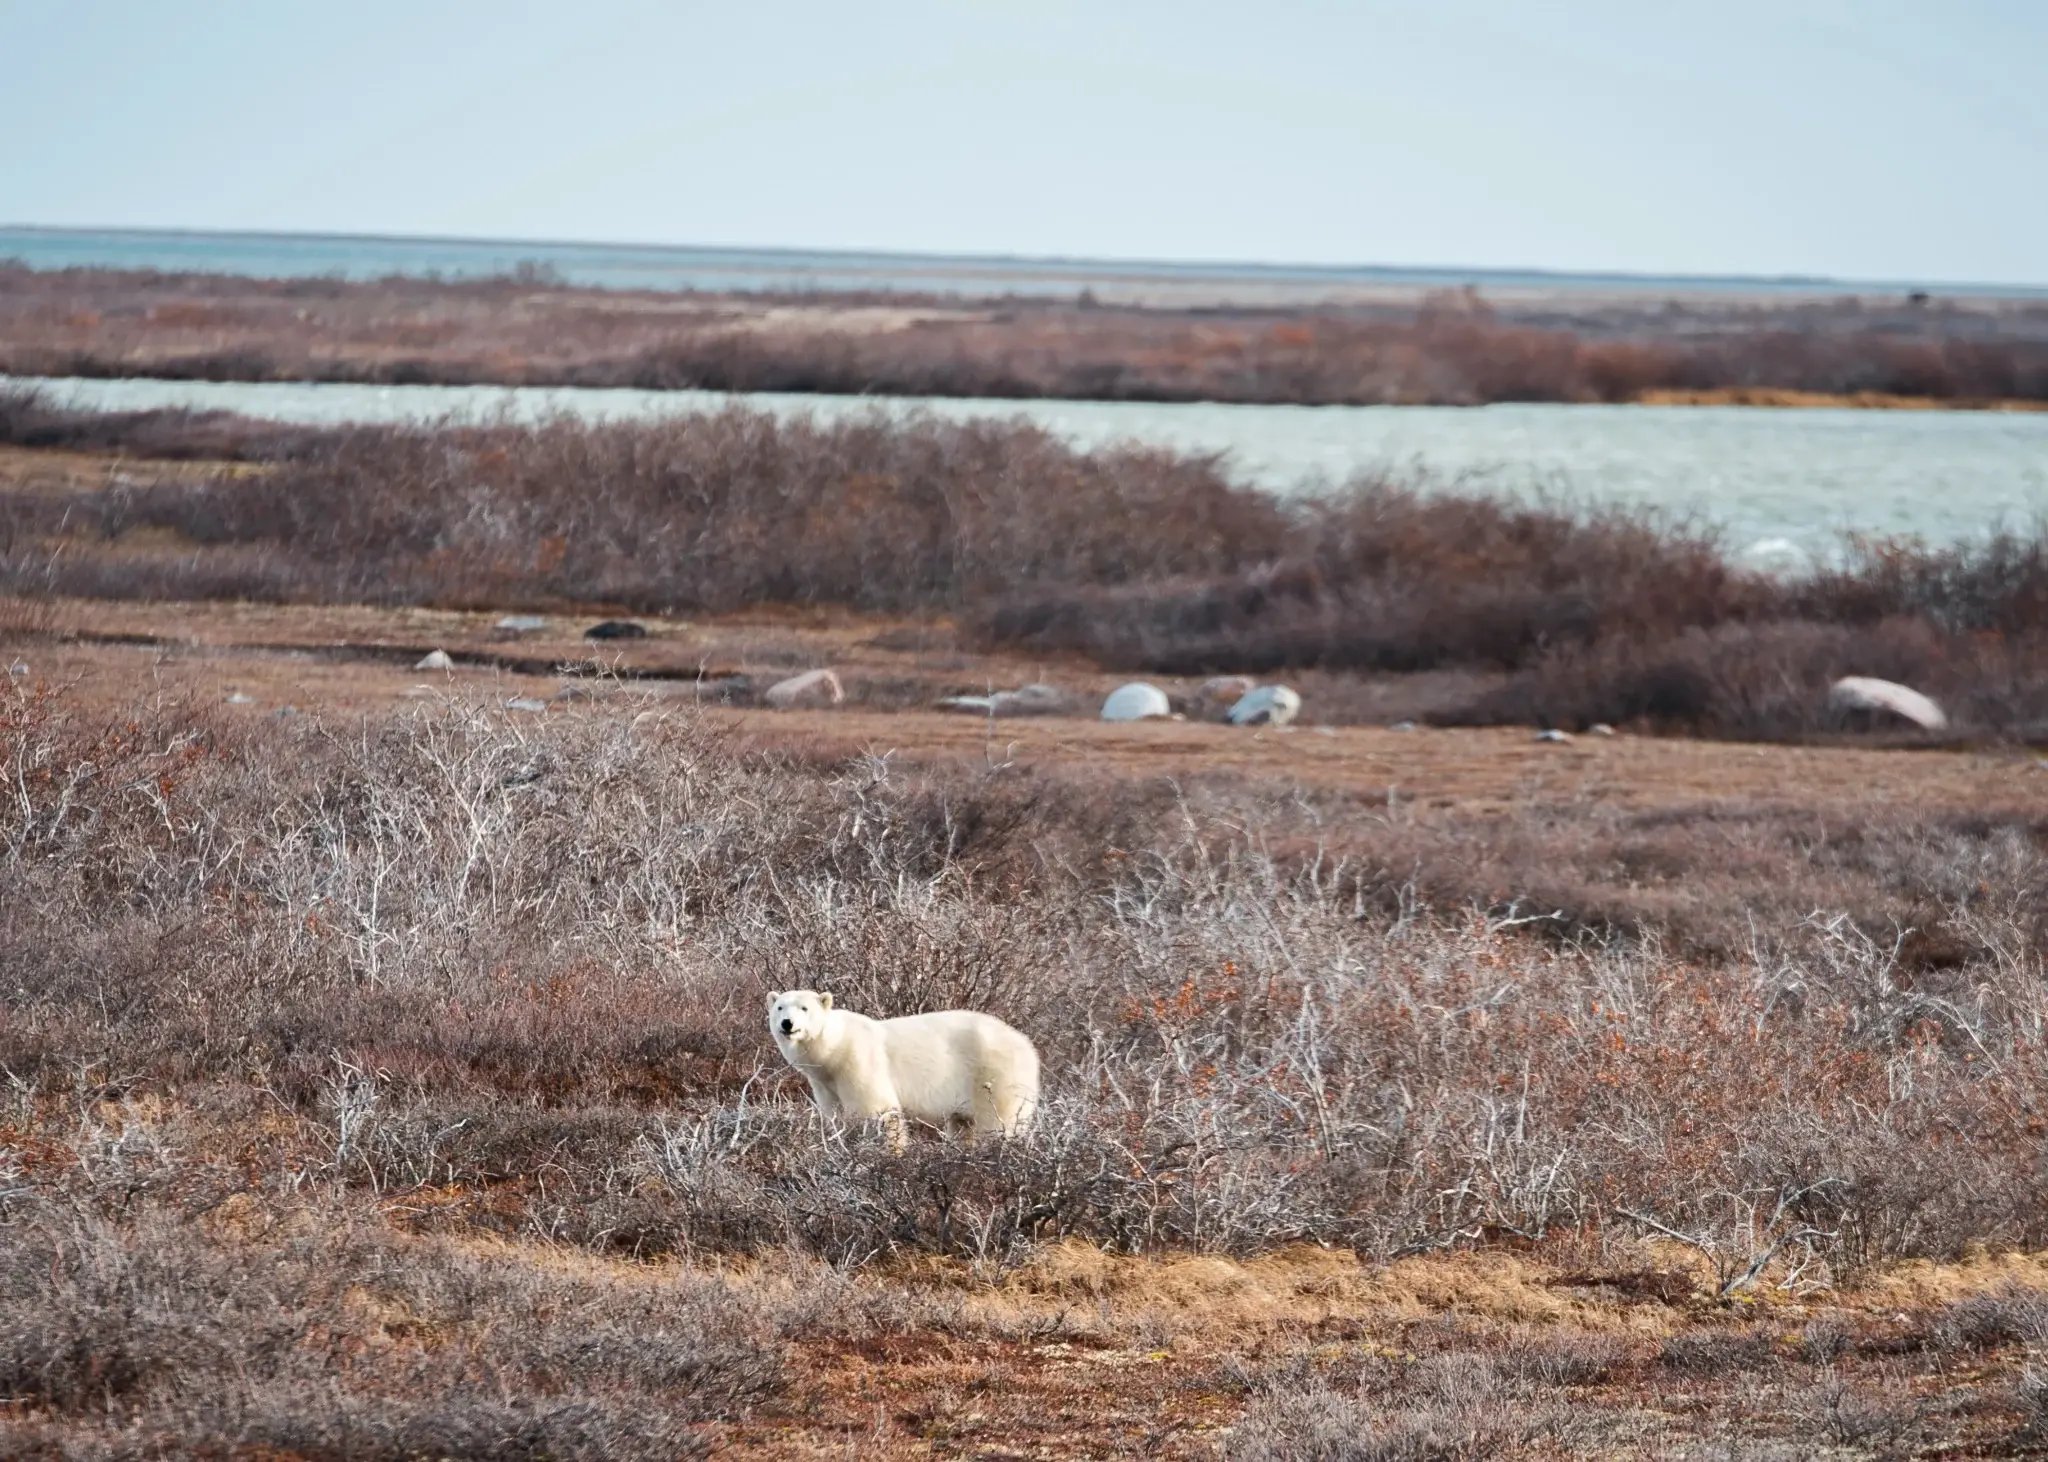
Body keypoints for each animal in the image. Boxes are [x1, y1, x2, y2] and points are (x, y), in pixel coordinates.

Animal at [767, 989, 1039, 1149]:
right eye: (779, 1007)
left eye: (804, 1008)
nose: (787, 1023)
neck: (833, 1050)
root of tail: (1028, 1046)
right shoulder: (824, 1083)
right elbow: (834, 1116)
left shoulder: (857, 1062)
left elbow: (878, 1110)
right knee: (963, 1124)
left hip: (995, 1074)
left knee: (998, 1122)